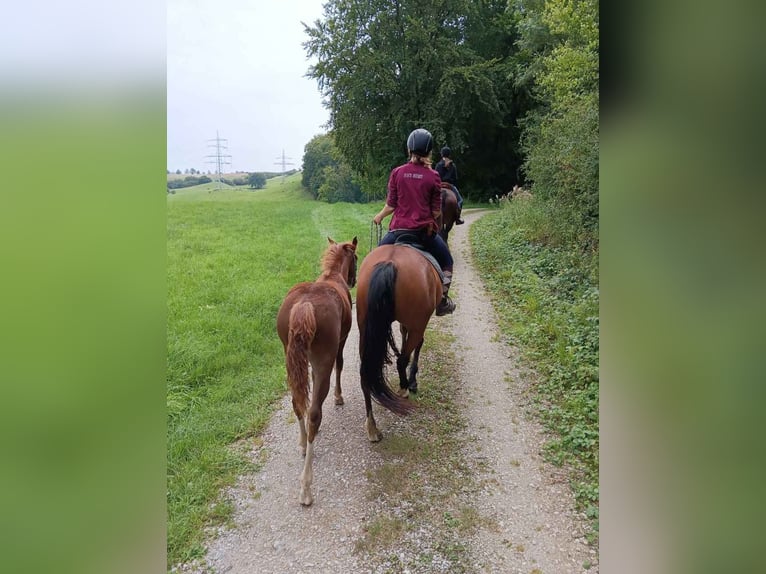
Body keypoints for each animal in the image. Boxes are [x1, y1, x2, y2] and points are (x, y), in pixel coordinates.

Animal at [278, 236, 358, 506]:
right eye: (356, 258)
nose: (353, 280)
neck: (333, 276)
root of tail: (304, 306)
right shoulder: (340, 344)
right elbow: (341, 365)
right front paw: (339, 397)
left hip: (290, 358)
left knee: (298, 403)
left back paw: (303, 444)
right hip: (323, 359)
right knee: (314, 412)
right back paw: (306, 488)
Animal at [356, 243, 440, 440]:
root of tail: (389, 262)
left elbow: (403, 332)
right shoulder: (420, 323)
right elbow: (416, 345)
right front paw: (413, 382)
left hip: (364, 328)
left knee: (365, 373)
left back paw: (372, 427)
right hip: (418, 323)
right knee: (402, 359)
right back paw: (405, 388)